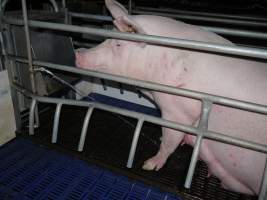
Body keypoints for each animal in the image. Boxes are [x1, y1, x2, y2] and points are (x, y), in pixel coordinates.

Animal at [75, 0, 267, 195]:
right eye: (108, 37)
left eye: (118, 45)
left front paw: (148, 165)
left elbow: (170, 140)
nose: (78, 54)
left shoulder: (179, 111)